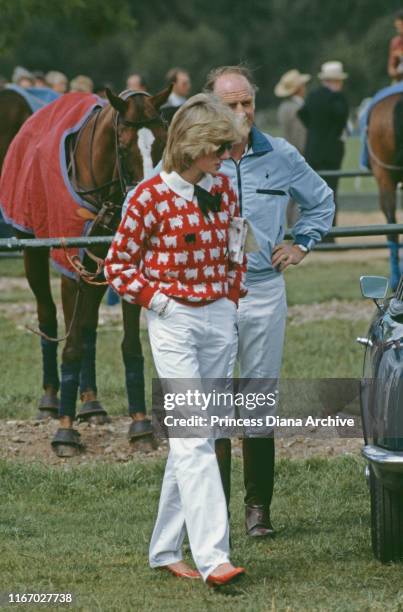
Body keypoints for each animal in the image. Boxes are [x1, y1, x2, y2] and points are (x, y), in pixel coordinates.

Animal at [0, 87, 170, 454]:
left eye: (163, 142)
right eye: (123, 146)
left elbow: (128, 345)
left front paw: (140, 425)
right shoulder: (70, 268)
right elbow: (72, 342)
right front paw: (65, 432)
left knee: (88, 323)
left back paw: (91, 403)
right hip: (33, 252)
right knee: (49, 314)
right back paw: (51, 401)